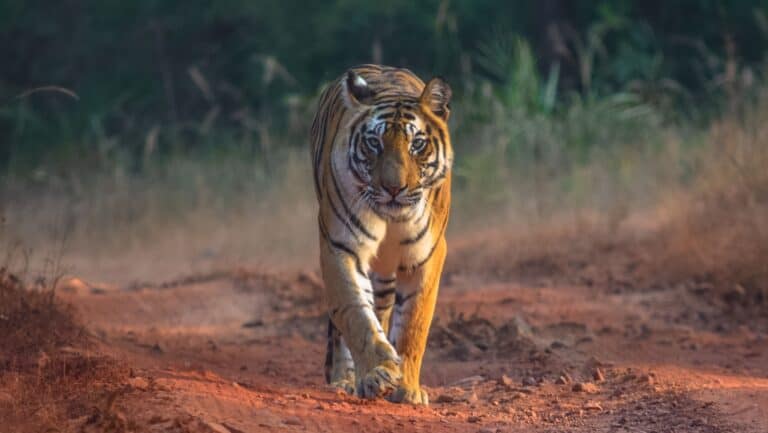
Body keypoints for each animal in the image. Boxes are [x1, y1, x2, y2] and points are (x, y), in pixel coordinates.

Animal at [310, 64, 452, 405]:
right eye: (374, 143)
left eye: (417, 144)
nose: (393, 188)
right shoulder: (341, 246)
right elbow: (356, 314)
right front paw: (378, 373)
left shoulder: (426, 256)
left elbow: (414, 323)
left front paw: (407, 389)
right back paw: (345, 380)